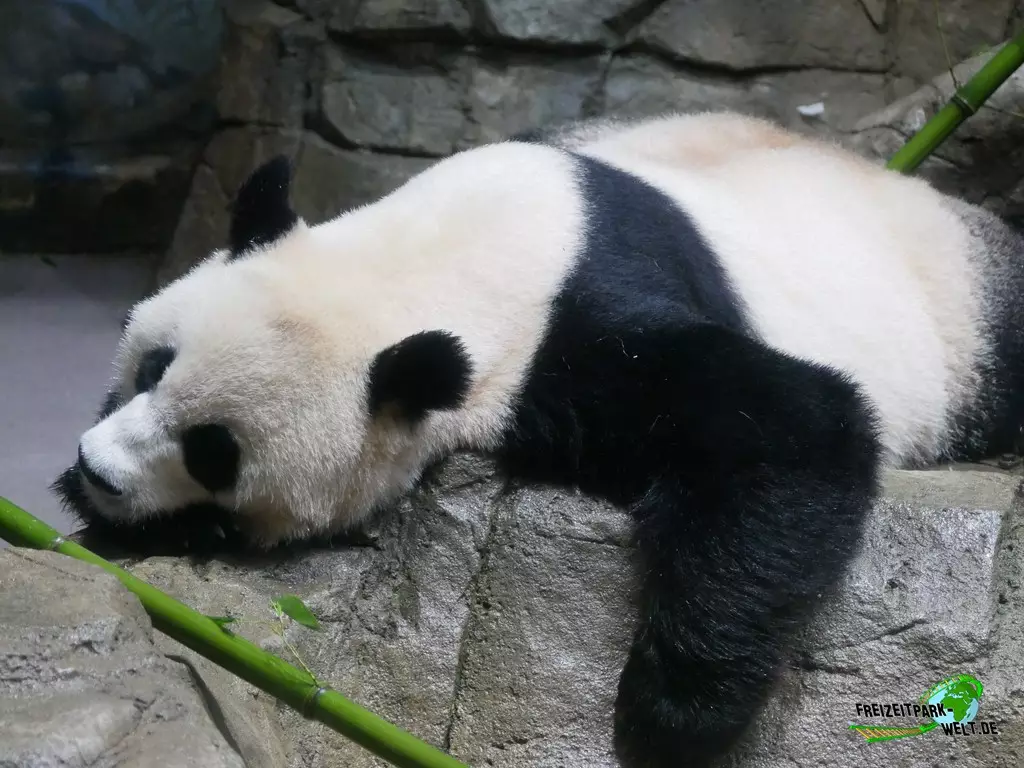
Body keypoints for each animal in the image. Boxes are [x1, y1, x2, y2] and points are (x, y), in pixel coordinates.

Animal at [55, 111, 1024, 767]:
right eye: (152, 367)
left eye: (213, 452)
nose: (100, 472)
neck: (429, 256)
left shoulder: (572, 342)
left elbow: (794, 427)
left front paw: (673, 717)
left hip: (964, 325)